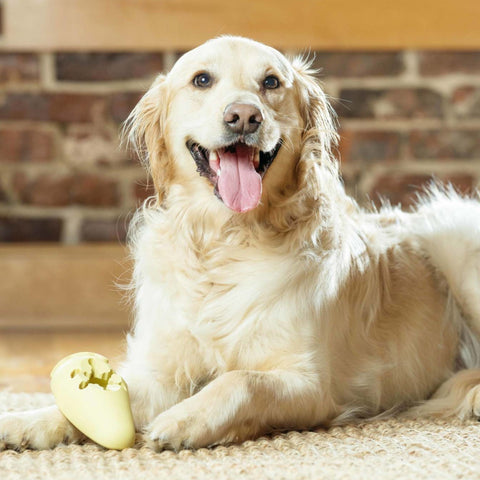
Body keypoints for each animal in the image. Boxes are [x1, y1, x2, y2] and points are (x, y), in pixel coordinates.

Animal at [2, 36, 480, 450]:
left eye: (270, 82)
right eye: (201, 80)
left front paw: (184, 419)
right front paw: (27, 421)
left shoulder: (311, 383)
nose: (244, 117)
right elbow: (102, 397)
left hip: (455, 241)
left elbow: (242, 381)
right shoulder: (162, 371)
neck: (224, 240)